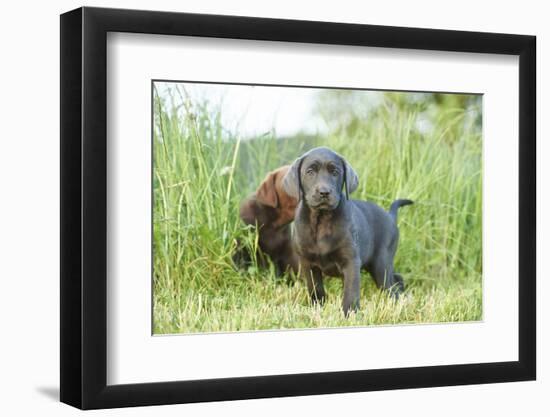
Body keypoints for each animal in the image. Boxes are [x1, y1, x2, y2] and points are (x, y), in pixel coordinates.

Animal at [282, 148, 412, 314]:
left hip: (381, 263)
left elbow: (350, 292)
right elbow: (315, 289)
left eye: (335, 172)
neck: (322, 220)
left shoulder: (351, 261)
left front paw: (349, 314)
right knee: (397, 279)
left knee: (392, 287)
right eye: (310, 172)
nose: (324, 192)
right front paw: (317, 308)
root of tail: (390, 216)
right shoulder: (308, 264)